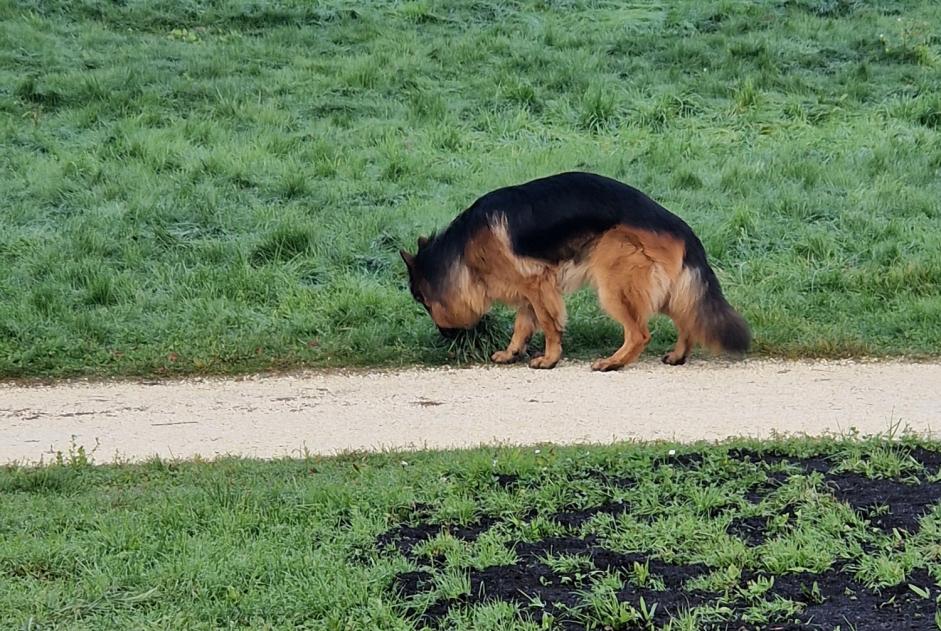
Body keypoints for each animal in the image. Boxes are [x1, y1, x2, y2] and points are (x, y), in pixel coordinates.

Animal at [400, 170, 752, 372]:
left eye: (423, 301)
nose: (445, 335)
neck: (461, 250)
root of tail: (682, 228)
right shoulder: (529, 289)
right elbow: (522, 325)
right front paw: (513, 352)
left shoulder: (538, 284)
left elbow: (547, 323)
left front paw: (550, 359)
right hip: (663, 288)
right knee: (686, 318)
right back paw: (678, 356)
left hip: (613, 282)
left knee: (640, 333)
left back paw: (613, 363)